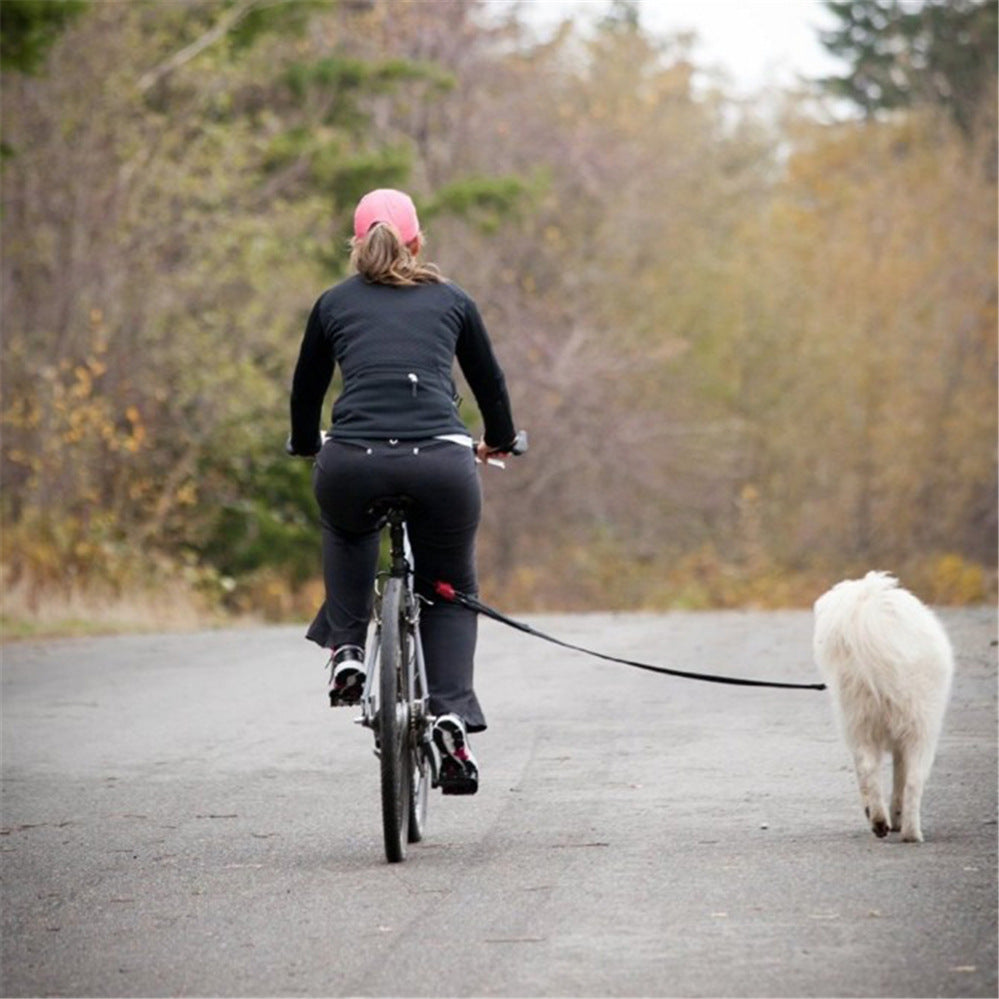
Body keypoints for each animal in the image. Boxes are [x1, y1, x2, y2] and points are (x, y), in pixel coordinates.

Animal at [812, 572, 952, 844]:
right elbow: (900, 780)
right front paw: (896, 818)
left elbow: (891, 778)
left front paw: (890, 818)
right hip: (921, 729)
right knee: (912, 781)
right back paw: (907, 831)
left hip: (861, 720)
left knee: (872, 770)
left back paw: (884, 823)